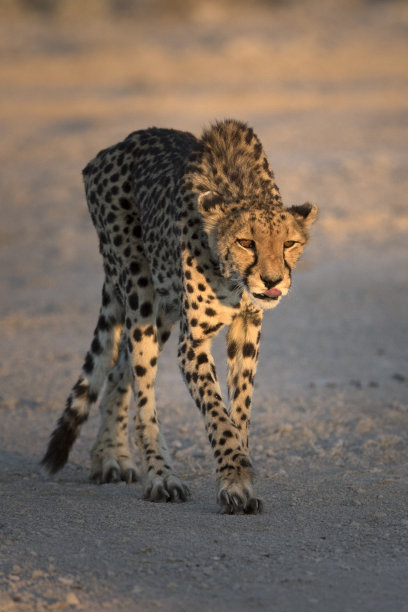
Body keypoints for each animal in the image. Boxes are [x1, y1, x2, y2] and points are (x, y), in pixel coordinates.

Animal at [41, 118, 318, 512]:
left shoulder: (247, 328)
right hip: (140, 293)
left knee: (119, 370)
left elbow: (240, 411)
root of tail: (118, 145)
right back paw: (160, 476)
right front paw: (235, 479)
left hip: (163, 312)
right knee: (142, 390)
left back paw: (110, 457)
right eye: (246, 242)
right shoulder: (193, 341)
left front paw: (240, 476)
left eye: (288, 244)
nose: (271, 280)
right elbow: (218, 415)